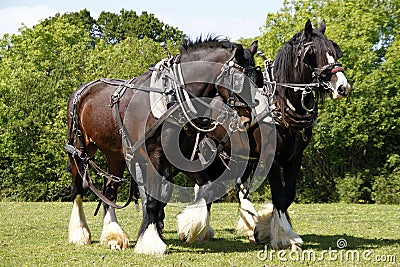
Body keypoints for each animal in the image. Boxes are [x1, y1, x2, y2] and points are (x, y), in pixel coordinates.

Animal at [65, 37, 260, 255]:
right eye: (239, 80)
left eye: (257, 80)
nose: (246, 121)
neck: (173, 97)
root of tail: (82, 90)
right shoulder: (155, 154)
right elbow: (153, 200)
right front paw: (151, 241)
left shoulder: (182, 155)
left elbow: (205, 188)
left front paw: (188, 228)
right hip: (78, 149)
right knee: (78, 189)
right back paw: (80, 232)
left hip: (115, 154)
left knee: (110, 190)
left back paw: (113, 235)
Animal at [236, 19, 352, 251]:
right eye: (312, 53)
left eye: (335, 51)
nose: (342, 87)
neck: (281, 104)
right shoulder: (271, 158)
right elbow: (279, 195)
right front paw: (285, 236)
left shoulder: (295, 157)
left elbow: (287, 195)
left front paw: (271, 229)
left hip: (248, 156)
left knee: (242, 186)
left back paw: (250, 226)